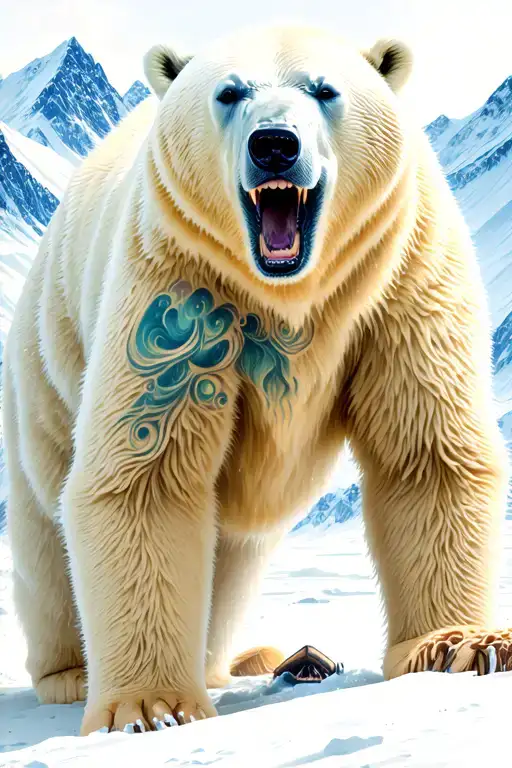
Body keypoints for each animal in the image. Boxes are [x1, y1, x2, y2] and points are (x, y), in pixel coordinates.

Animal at [2, 23, 510, 736]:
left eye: (323, 90)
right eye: (229, 92)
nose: (274, 144)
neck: (287, 294)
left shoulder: (400, 275)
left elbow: (423, 451)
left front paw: (463, 646)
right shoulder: (178, 292)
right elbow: (146, 472)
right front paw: (151, 707)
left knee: (234, 555)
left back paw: (247, 656)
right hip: (48, 363)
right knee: (47, 533)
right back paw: (72, 672)